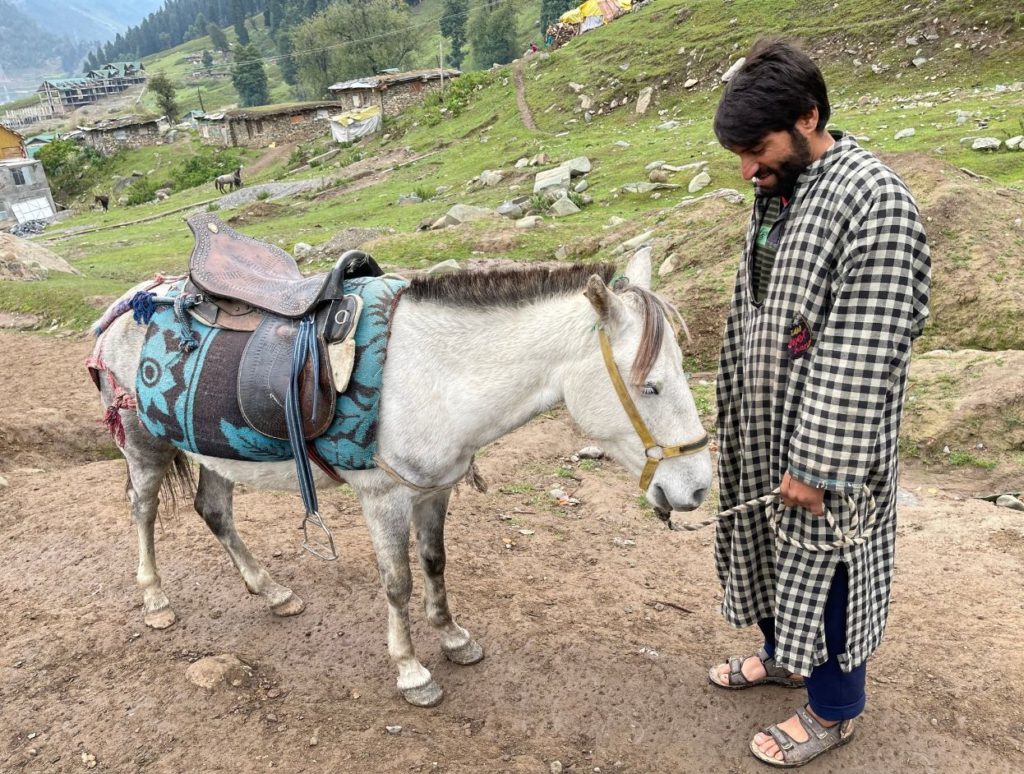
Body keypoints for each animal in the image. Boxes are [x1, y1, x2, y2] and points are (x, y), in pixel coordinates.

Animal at [92, 249, 708, 708]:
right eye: (649, 385)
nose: (698, 489)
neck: (434, 374)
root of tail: (128, 304)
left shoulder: (434, 489)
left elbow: (434, 563)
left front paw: (454, 638)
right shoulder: (384, 497)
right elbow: (398, 582)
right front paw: (411, 671)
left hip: (217, 451)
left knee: (214, 510)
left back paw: (272, 592)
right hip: (143, 443)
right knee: (142, 509)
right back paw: (155, 600)